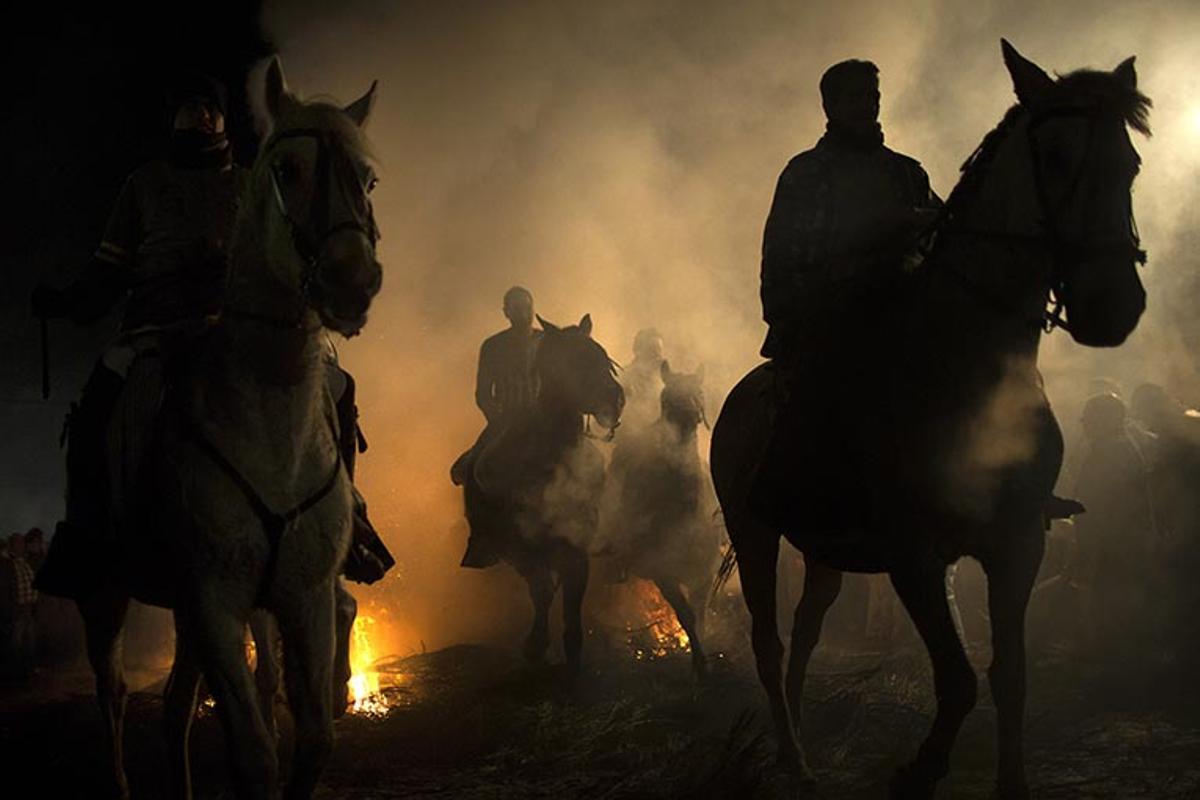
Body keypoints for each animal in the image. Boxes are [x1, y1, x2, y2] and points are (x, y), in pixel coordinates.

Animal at [76, 61, 379, 800]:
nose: (352, 281)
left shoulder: (299, 598)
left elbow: (313, 739)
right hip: (107, 595)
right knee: (113, 696)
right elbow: (254, 754)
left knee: (175, 707)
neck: (268, 429)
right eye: (288, 169)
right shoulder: (215, 603)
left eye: (368, 179)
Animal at [463, 311, 624, 671]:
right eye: (576, 359)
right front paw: (535, 644)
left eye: (602, 357)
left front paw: (573, 645)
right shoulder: (518, 547)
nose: (615, 399)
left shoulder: (576, 540)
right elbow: (541, 591)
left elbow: (573, 592)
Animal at [604, 367, 715, 681]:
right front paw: (699, 663)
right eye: (666, 397)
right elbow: (686, 614)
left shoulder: (705, 571)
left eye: (699, 392)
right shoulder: (662, 573)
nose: (688, 415)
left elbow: (700, 614)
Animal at [705, 42, 1147, 800]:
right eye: (1056, 155)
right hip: (753, 529)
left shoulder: (1016, 542)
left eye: (1131, 164)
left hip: (824, 551)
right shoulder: (914, 554)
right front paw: (919, 767)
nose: (1113, 305)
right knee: (768, 641)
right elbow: (960, 680)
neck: (960, 366)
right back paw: (793, 758)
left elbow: (1009, 677)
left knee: (806, 629)